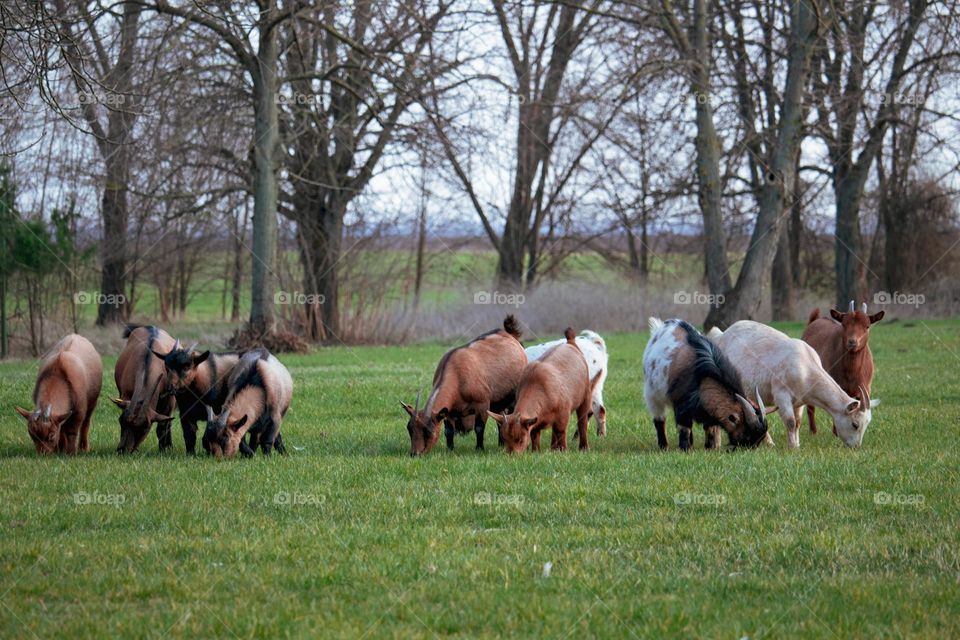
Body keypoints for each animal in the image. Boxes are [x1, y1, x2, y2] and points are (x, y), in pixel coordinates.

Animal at [114, 324, 178, 456]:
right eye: (121, 421)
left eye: (145, 427)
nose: (122, 450)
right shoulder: (125, 395)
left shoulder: (169, 401)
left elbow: (163, 426)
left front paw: (164, 450)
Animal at [402, 316, 528, 456]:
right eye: (410, 428)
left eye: (428, 431)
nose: (415, 453)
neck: (456, 373)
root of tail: (510, 335)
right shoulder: (449, 411)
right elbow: (449, 431)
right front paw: (450, 449)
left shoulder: (482, 404)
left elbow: (479, 428)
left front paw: (479, 448)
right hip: (497, 401)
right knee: (499, 418)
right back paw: (501, 443)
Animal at [640, 316, 768, 450]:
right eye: (747, 435)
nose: (748, 449)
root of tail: (659, 328)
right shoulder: (681, 404)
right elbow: (684, 427)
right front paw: (685, 449)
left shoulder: (707, 409)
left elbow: (709, 428)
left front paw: (710, 448)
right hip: (652, 394)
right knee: (659, 418)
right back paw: (664, 446)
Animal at [712, 320, 876, 450]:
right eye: (855, 424)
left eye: (867, 423)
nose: (856, 447)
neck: (806, 368)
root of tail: (721, 335)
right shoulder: (781, 394)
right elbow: (790, 421)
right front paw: (792, 448)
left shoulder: (800, 401)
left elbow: (797, 422)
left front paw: (796, 444)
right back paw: (718, 444)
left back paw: (769, 443)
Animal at [800, 302, 880, 436]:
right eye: (844, 324)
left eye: (867, 326)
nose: (852, 342)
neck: (852, 372)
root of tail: (816, 320)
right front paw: (836, 434)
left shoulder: (866, 388)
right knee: (811, 408)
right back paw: (813, 432)